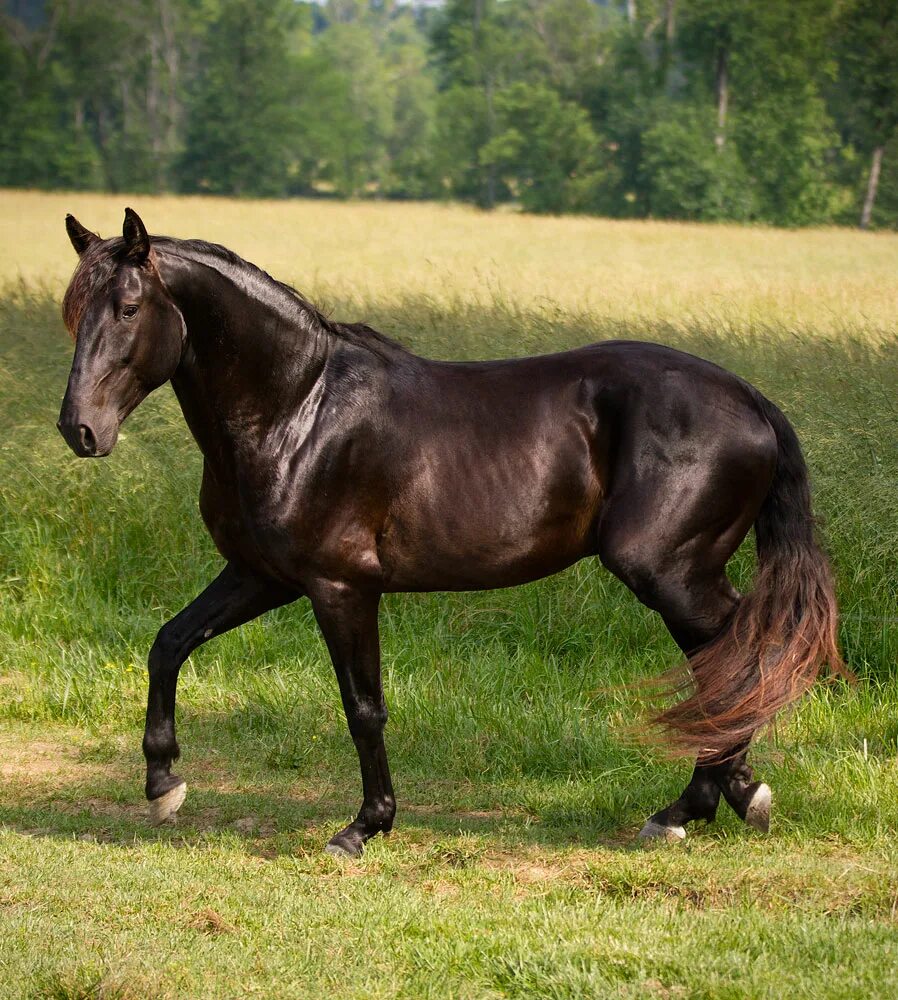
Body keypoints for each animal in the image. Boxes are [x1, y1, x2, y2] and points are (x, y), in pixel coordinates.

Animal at [56, 211, 840, 860]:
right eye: (75, 313)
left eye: (128, 308)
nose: (79, 430)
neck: (298, 410)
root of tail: (750, 400)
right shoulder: (262, 576)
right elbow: (169, 643)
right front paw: (163, 784)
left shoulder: (340, 586)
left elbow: (363, 708)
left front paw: (364, 826)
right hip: (682, 576)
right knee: (728, 666)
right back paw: (710, 802)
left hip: (671, 572)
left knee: (742, 656)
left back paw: (708, 802)